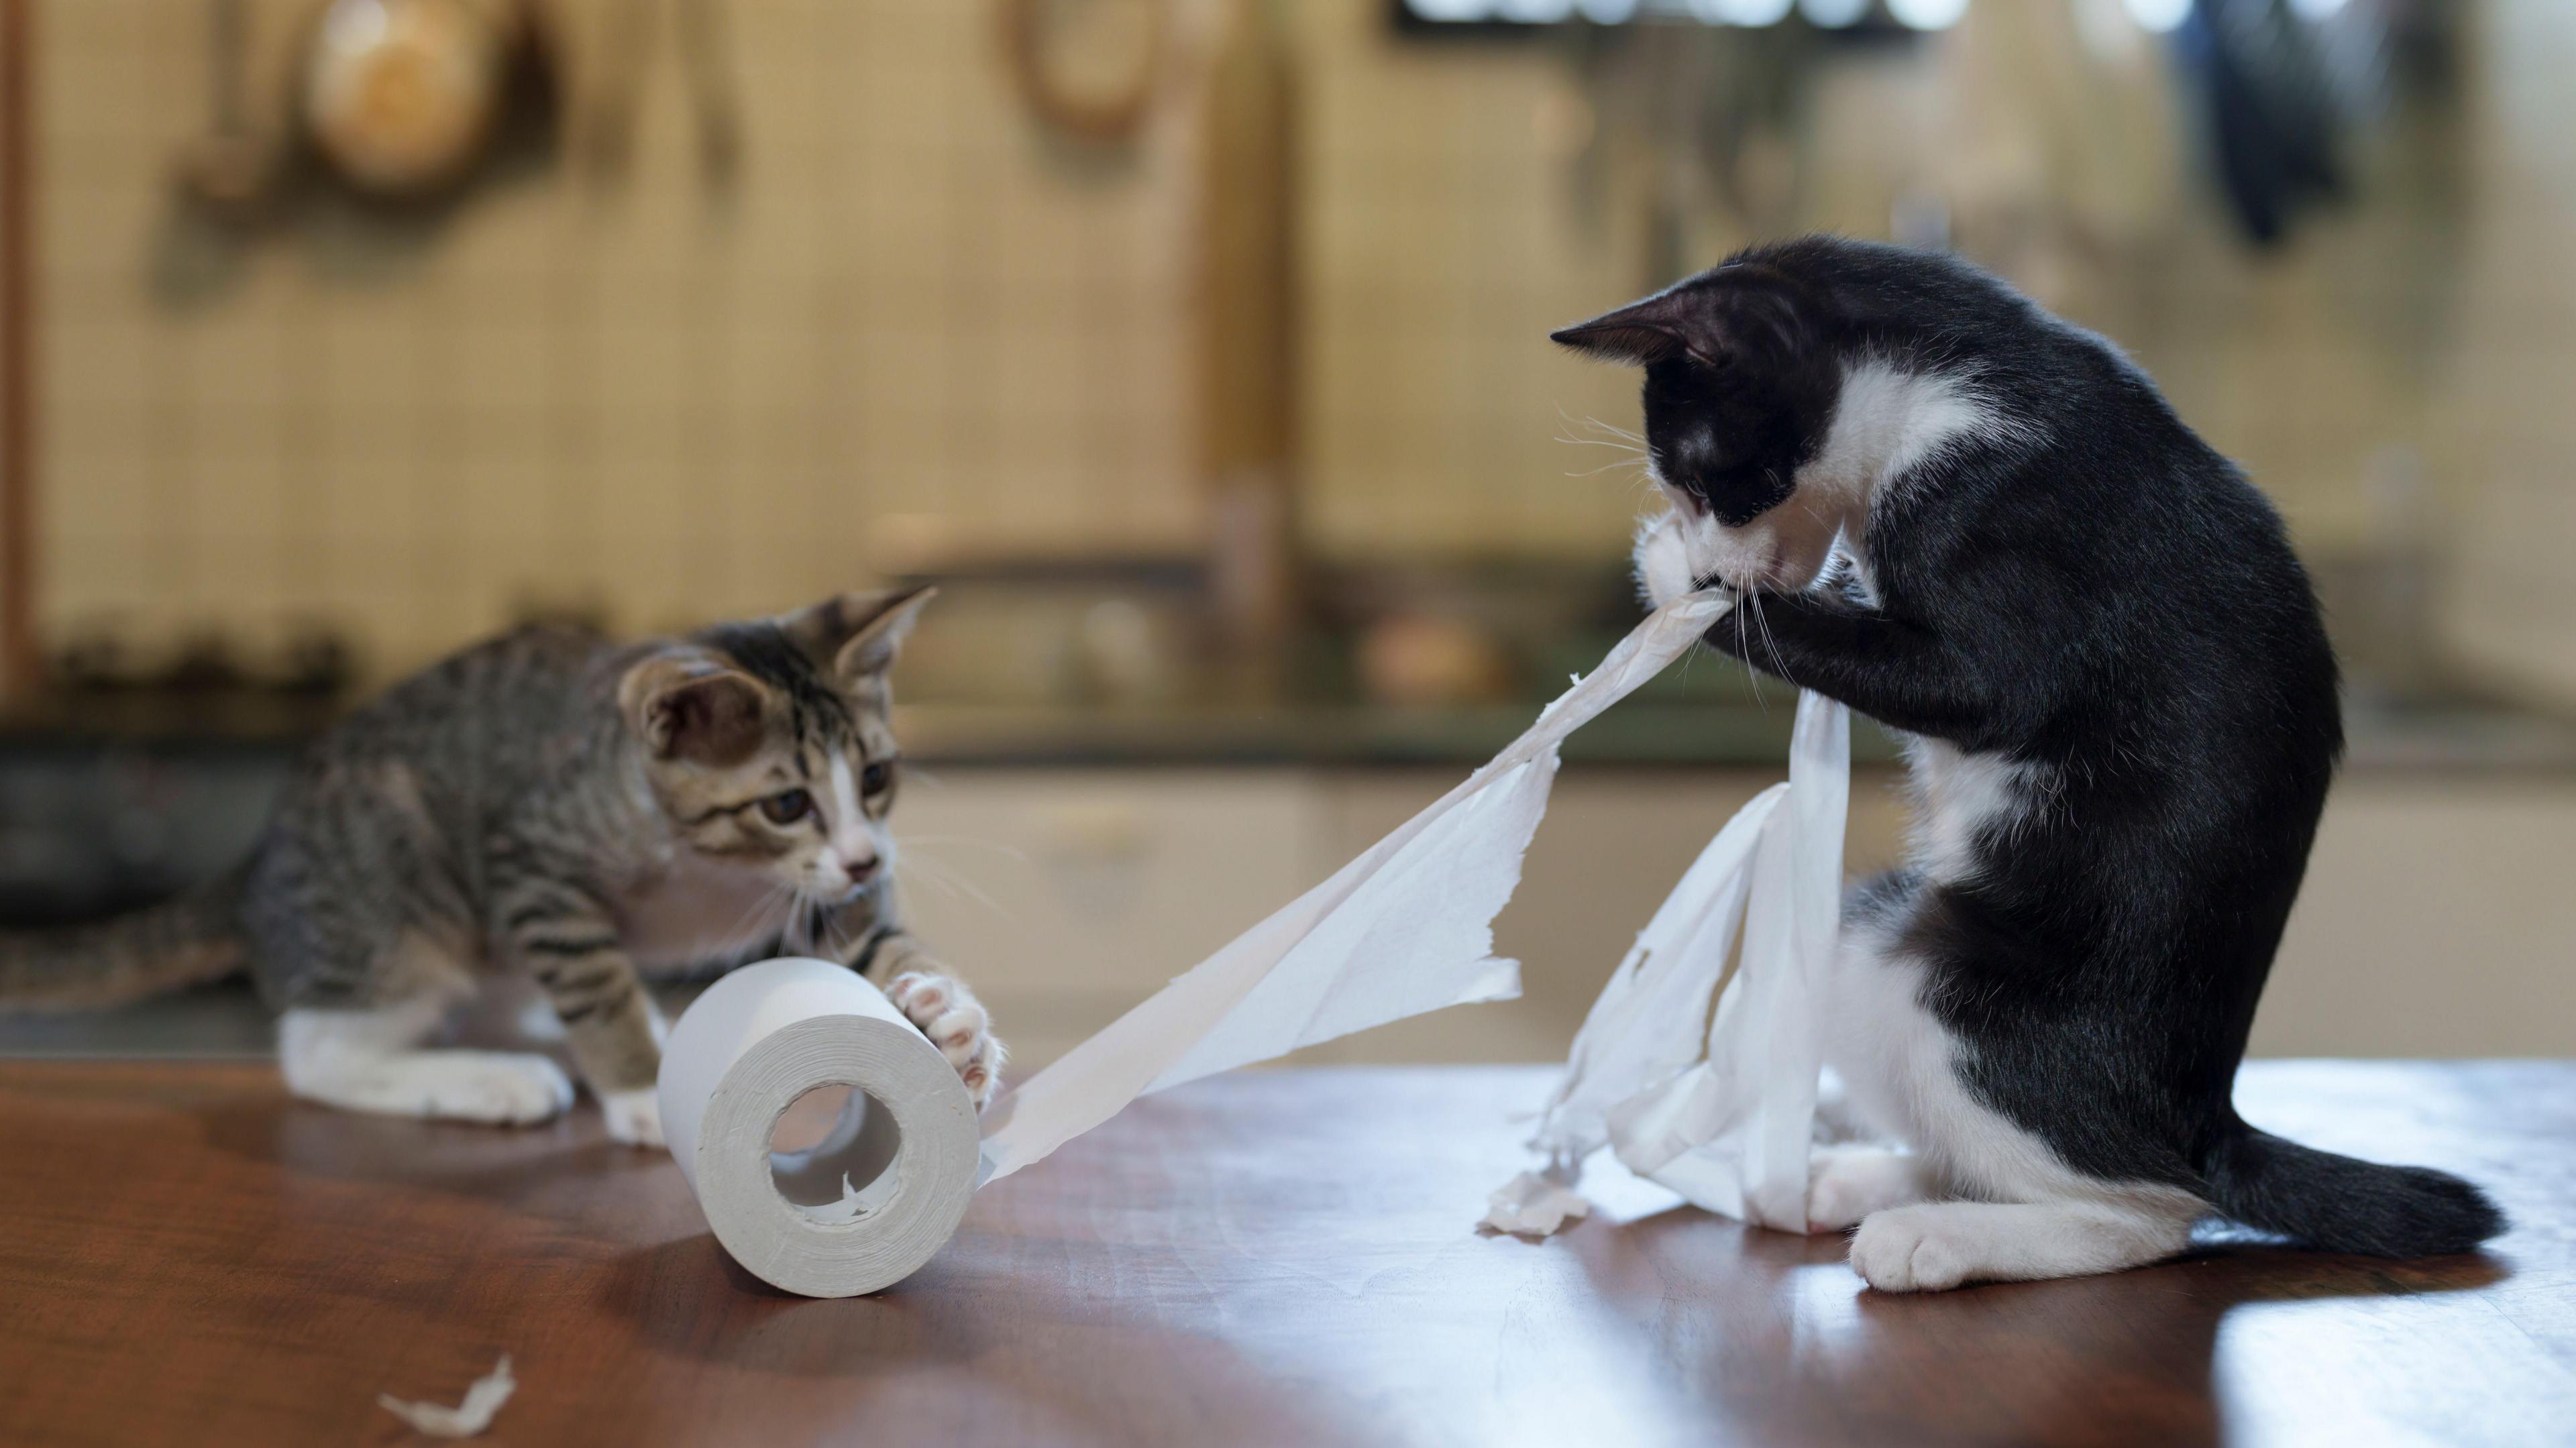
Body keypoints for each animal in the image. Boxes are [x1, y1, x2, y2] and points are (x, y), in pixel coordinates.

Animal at [0, 582, 994, 1139]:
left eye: (876, 776)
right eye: (786, 803)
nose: (866, 856)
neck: (712, 865)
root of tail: (254, 863)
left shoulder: (832, 890)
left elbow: (879, 942)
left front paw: (947, 1015)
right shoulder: (533, 863)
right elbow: (594, 980)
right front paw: (638, 1087)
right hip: (400, 900)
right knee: (320, 1053)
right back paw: (488, 1078)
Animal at [1556, 234, 2504, 1283]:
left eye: (1703, 479)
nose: (1703, 546)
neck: (1955, 383)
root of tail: (2203, 1117)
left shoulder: (2006, 527)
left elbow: (1964, 682)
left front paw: (1677, 574)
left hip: (1953, 979)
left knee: (2148, 1207)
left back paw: (1936, 1234)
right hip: (1872, 929)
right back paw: (1856, 1180)